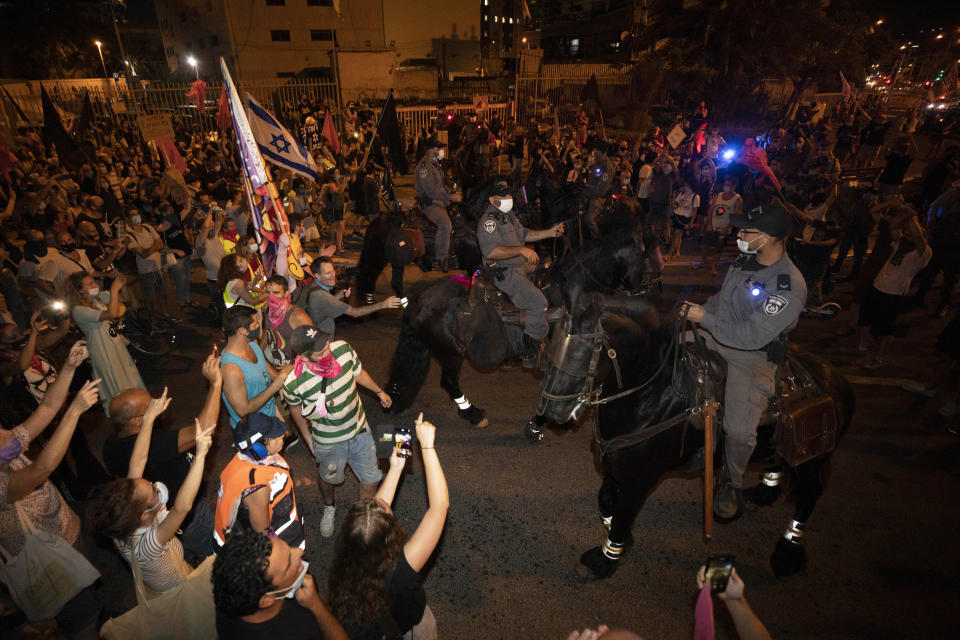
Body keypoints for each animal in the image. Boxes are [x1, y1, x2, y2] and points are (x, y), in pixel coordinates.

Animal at [384, 199, 660, 430]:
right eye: (648, 257)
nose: (653, 289)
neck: (566, 293)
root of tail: (422, 297)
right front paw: (538, 423)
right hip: (451, 353)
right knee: (450, 383)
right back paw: (473, 413)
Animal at [540, 296, 856, 580]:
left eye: (585, 353)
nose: (551, 409)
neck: (653, 395)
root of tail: (836, 378)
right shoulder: (617, 465)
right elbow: (606, 500)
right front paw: (622, 541)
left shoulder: (641, 476)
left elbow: (623, 512)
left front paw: (606, 559)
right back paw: (763, 492)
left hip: (812, 459)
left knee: (809, 494)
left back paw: (786, 553)